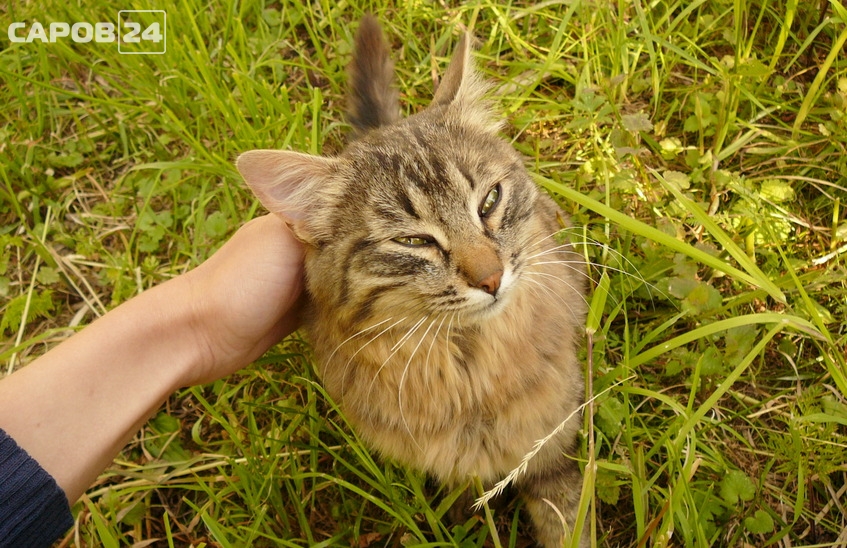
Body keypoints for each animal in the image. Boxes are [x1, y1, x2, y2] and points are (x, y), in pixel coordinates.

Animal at [235, 16, 588, 548]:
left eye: (489, 202)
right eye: (414, 240)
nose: (491, 278)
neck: (469, 369)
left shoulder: (553, 452)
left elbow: (566, 524)